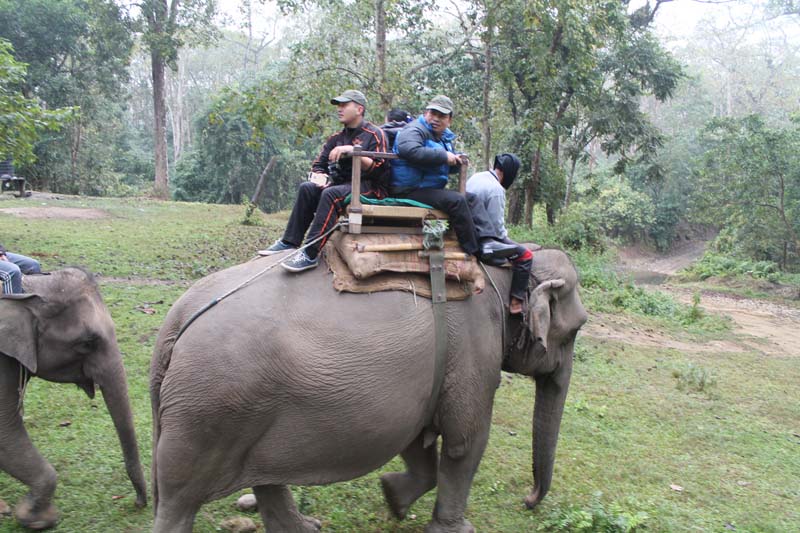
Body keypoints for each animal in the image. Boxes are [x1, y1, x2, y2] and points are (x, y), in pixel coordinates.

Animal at [150, 248, 587, 532]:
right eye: (576, 330)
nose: (527, 501)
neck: (501, 273)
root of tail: (177, 320)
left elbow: (417, 439)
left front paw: (393, 499)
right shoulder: (473, 350)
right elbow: (465, 442)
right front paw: (455, 529)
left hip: (246, 409)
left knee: (266, 477)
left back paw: (306, 527)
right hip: (210, 412)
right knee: (180, 503)